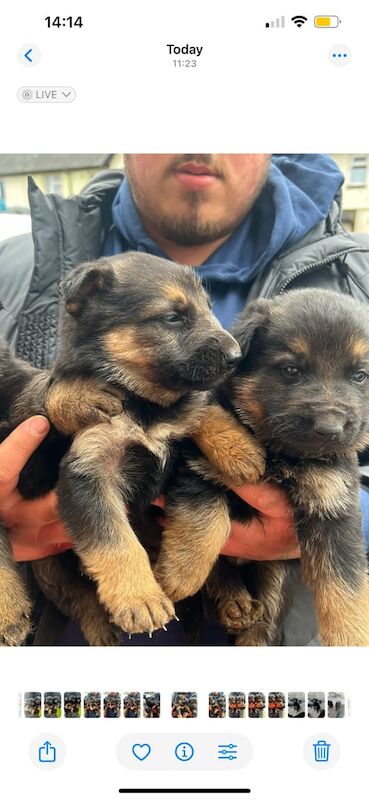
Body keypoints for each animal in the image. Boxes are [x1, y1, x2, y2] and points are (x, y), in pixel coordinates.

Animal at [0, 253, 243, 648]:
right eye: (172, 317)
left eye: (209, 308)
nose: (237, 356)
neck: (143, 404)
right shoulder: (90, 472)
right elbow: (114, 539)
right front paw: (141, 598)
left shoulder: (183, 455)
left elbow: (209, 515)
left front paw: (239, 447)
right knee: (74, 594)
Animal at [153, 290, 369, 648]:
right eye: (291, 370)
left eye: (360, 376)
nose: (330, 429)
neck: (280, 454)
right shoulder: (199, 466)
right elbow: (208, 520)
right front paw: (181, 573)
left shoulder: (332, 506)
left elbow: (346, 585)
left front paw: (351, 637)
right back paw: (233, 602)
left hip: (276, 571)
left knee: (266, 615)